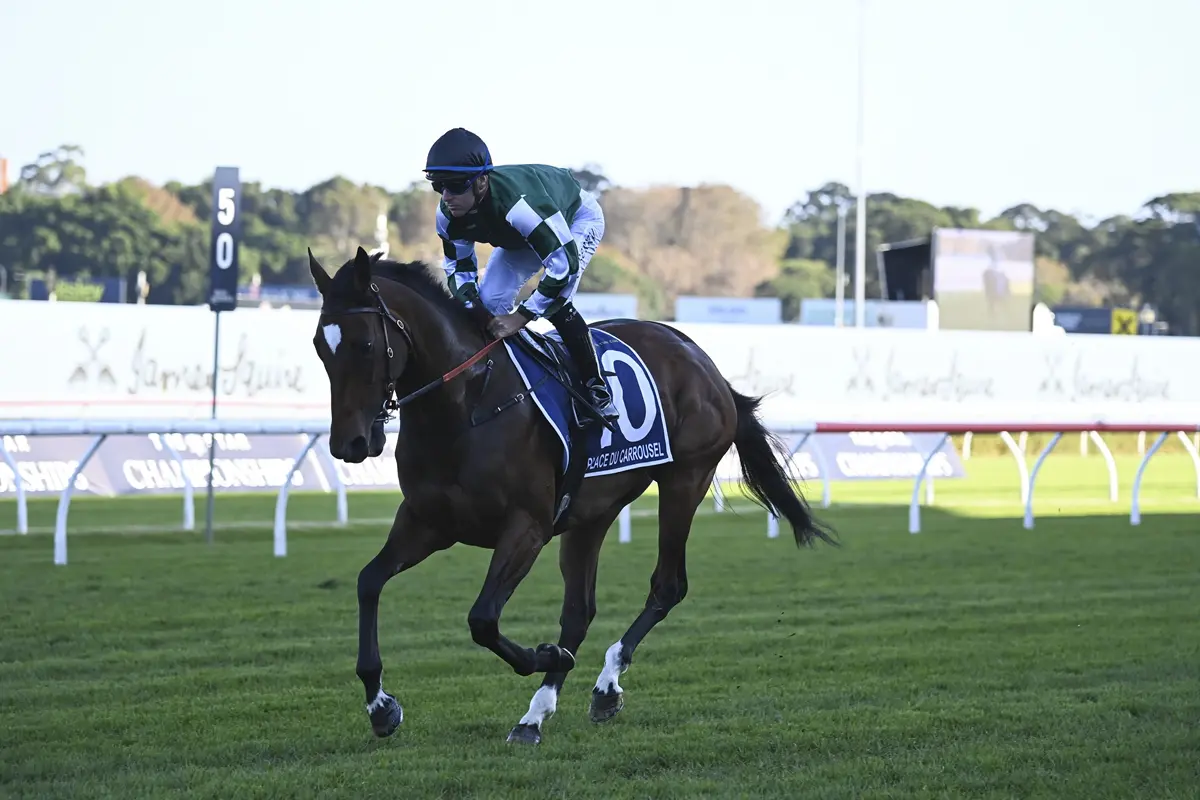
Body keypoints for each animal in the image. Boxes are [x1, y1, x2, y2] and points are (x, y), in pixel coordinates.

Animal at [309, 247, 835, 748]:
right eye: (319, 346)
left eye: (365, 344)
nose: (349, 444)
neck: (467, 404)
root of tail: (704, 361)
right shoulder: (427, 521)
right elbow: (368, 582)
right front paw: (380, 706)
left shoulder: (527, 527)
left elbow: (482, 619)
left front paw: (544, 655)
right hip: (591, 513)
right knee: (580, 611)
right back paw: (535, 716)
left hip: (686, 479)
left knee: (667, 586)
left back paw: (603, 686)